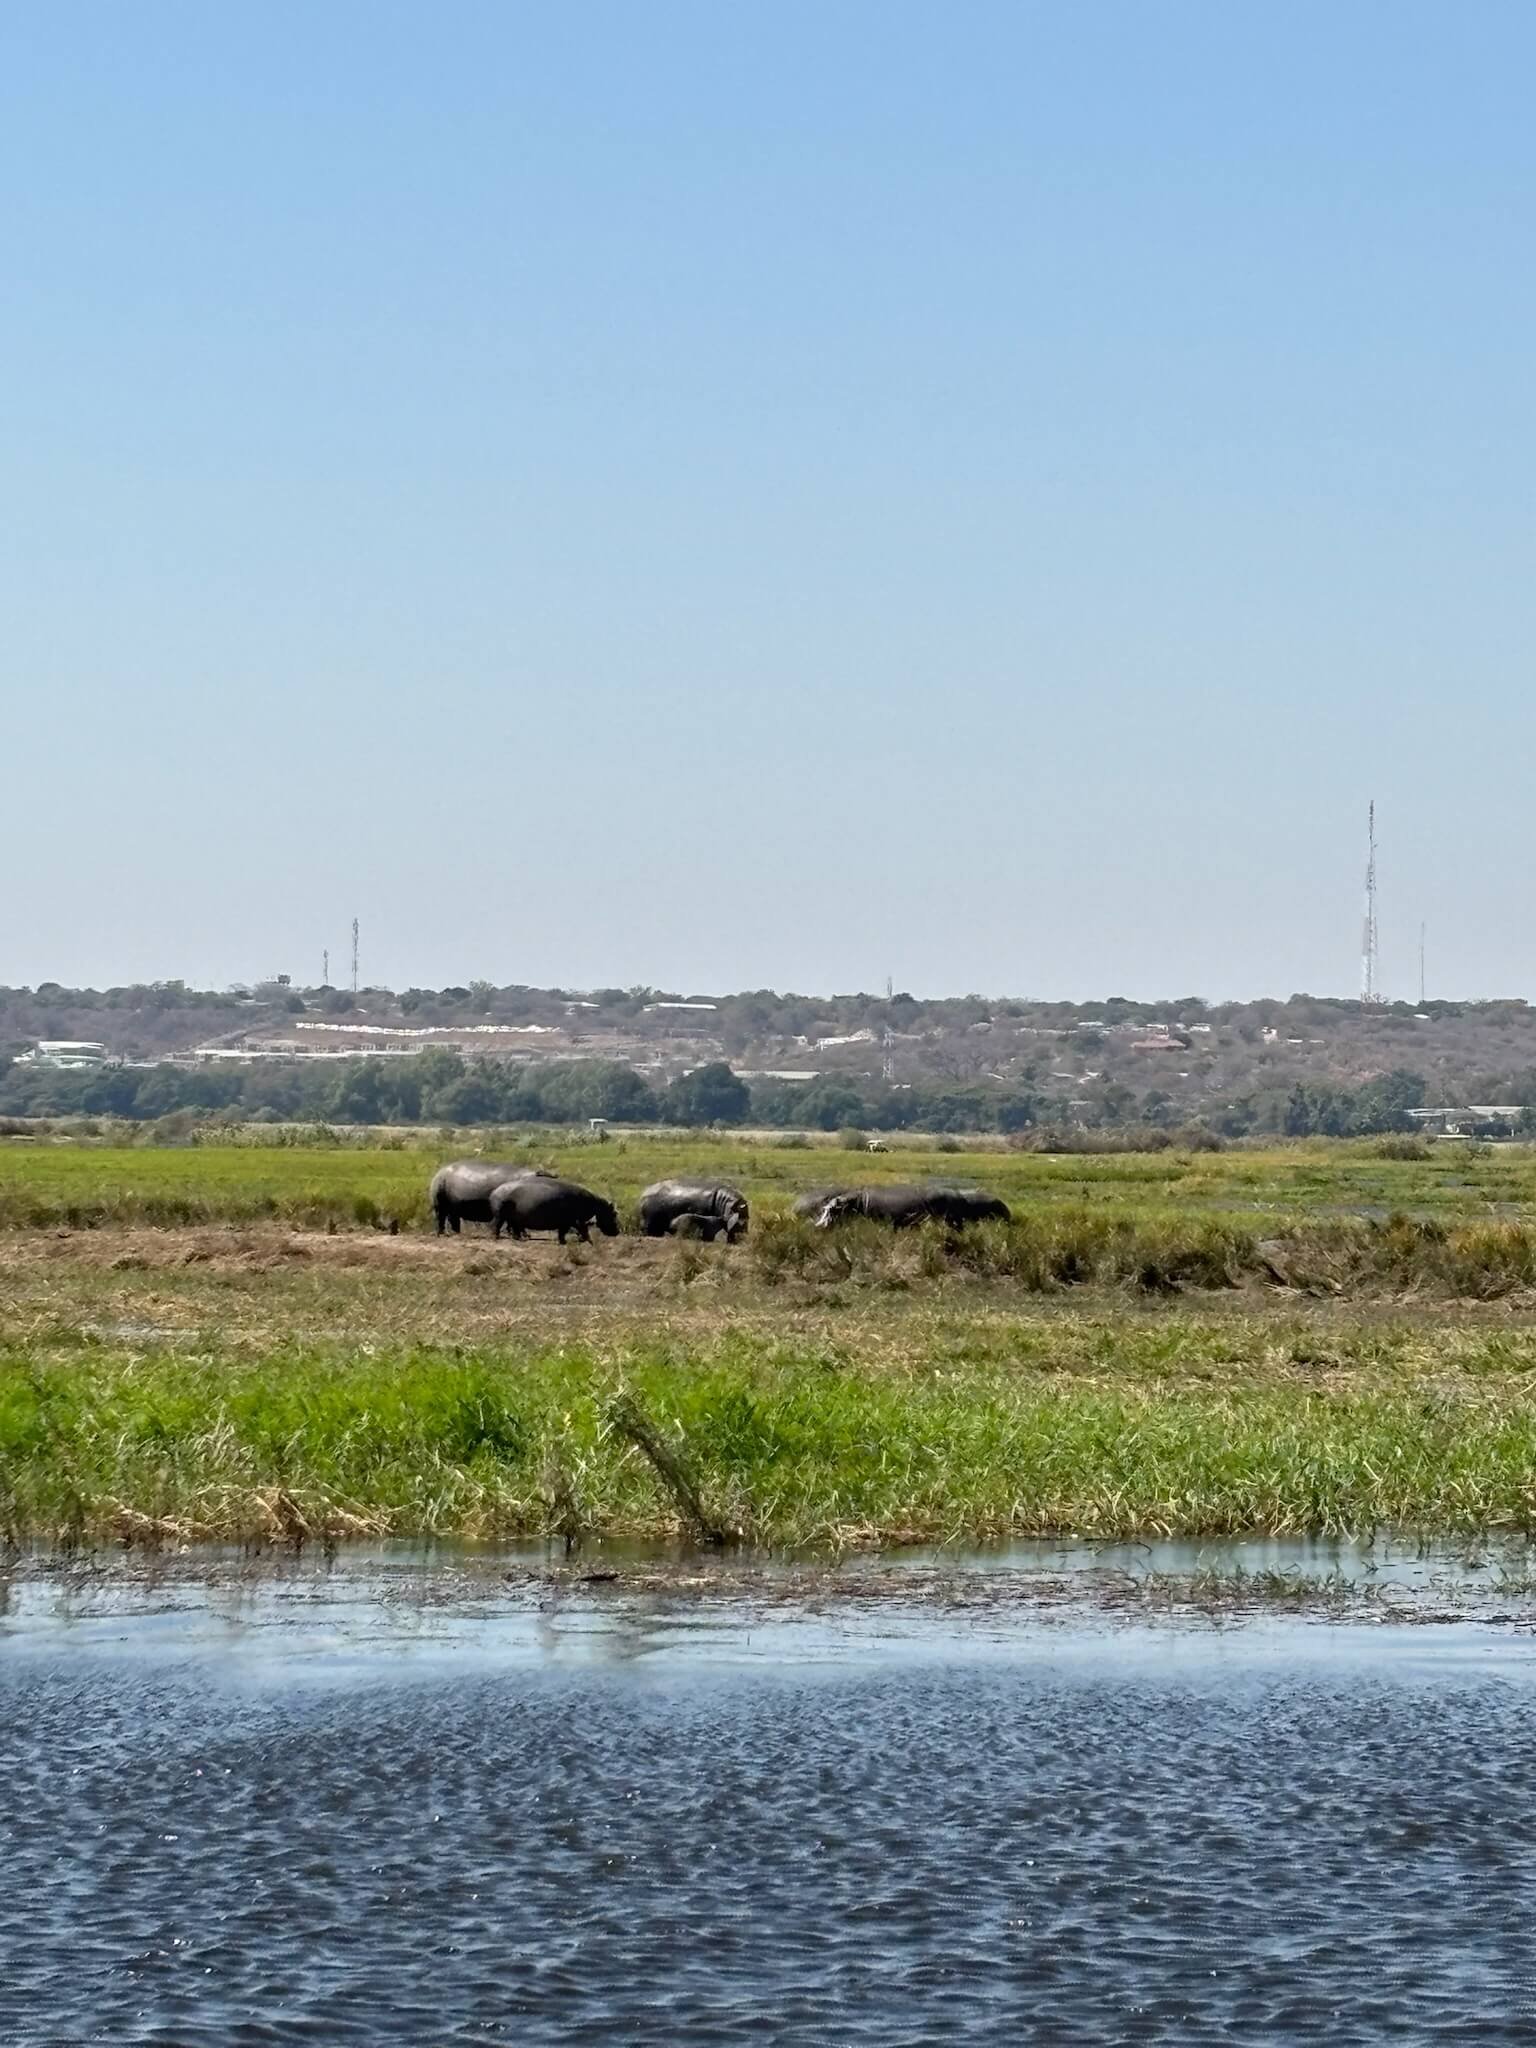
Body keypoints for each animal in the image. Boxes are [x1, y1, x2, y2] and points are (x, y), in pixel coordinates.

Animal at [489, 1176, 620, 1243]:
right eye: (614, 1213)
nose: (617, 1232)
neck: (597, 1206)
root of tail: (494, 1191)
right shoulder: (575, 1220)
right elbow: (580, 1229)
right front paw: (583, 1240)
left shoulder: (570, 1221)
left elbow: (566, 1231)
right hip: (500, 1215)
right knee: (496, 1225)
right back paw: (496, 1238)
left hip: (513, 1217)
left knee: (513, 1228)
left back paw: (519, 1239)